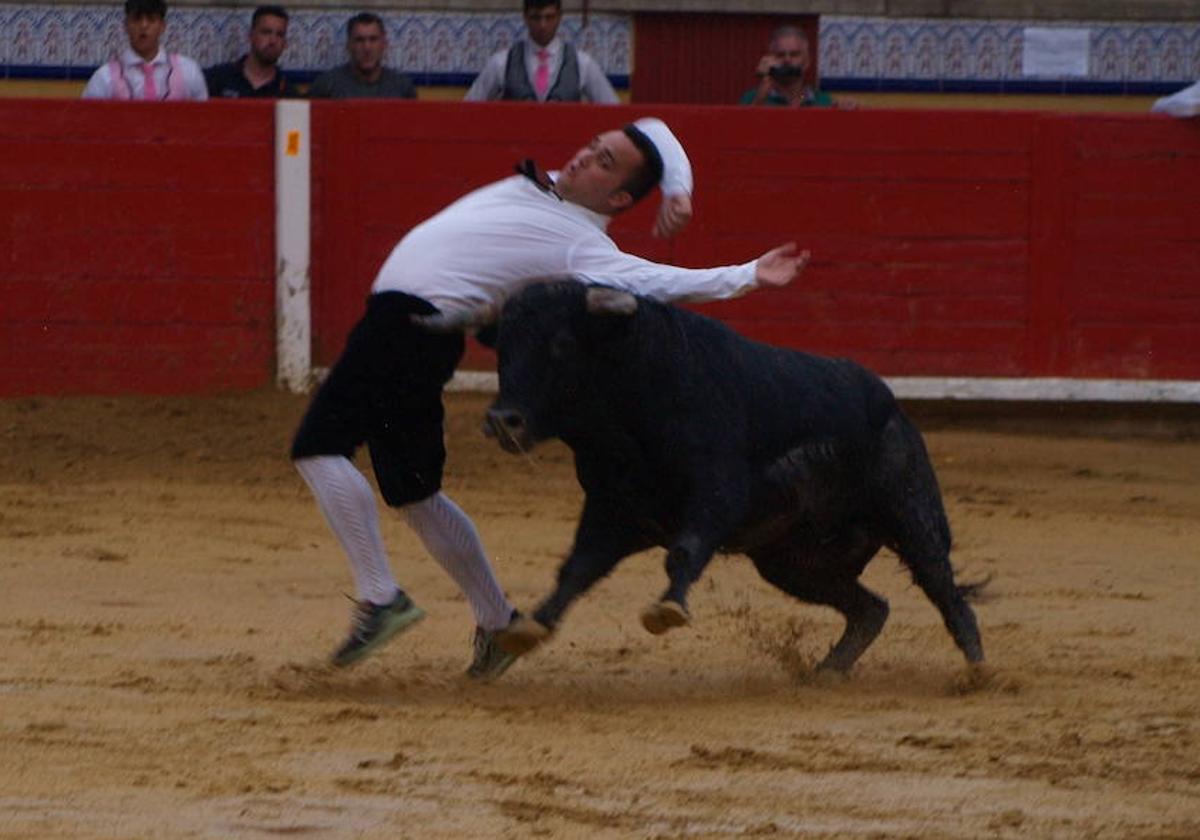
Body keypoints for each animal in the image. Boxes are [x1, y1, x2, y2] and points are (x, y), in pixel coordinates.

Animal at [472, 284, 979, 676]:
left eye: (561, 344)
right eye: (503, 349)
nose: (502, 421)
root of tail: (892, 407)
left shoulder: (718, 495)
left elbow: (684, 551)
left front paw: (667, 609)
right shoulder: (611, 510)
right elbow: (577, 569)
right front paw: (526, 630)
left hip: (912, 514)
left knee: (943, 586)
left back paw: (976, 671)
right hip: (791, 563)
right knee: (871, 608)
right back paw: (828, 672)